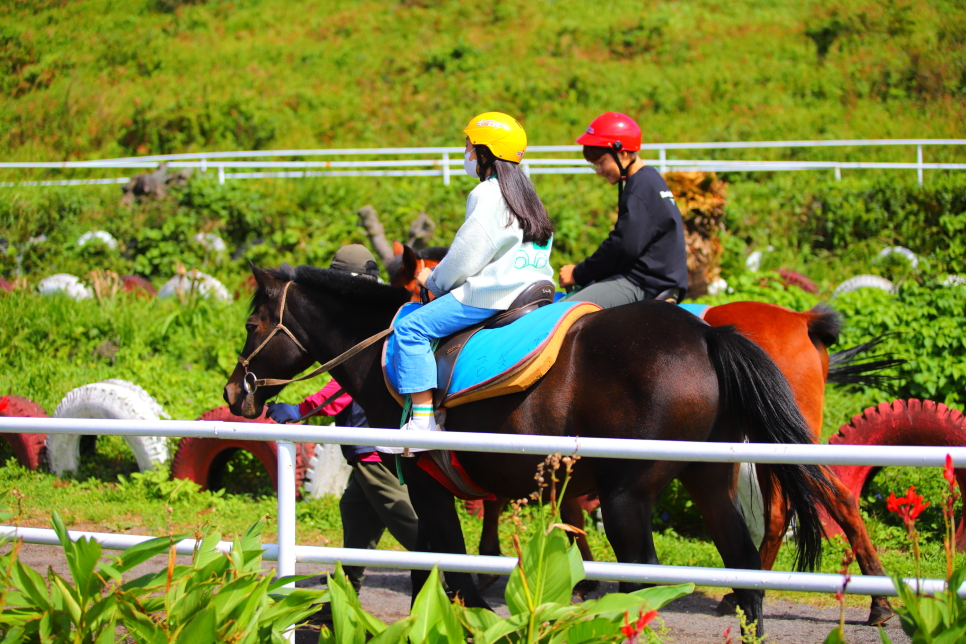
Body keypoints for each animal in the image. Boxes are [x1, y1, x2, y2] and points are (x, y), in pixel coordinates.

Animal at [227, 262, 840, 640]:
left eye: (253, 322)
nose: (235, 391)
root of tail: (708, 336)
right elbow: (432, 568)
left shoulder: (427, 485)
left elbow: (451, 569)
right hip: (708, 483)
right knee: (744, 571)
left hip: (626, 498)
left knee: (642, 584)